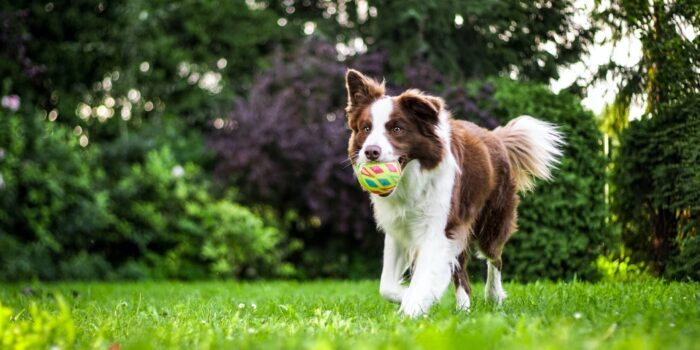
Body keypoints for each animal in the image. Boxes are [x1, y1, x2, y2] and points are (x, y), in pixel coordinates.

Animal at [344, 68, 564, 318]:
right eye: (366, 128)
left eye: (397, 129)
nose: (371, 152)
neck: (412, 180)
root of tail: (496, 137)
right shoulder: (399, 228)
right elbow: (387, 286)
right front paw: (411, 297)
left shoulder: (439, 228)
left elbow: (424, 276)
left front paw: (412, 308)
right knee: (462, 274)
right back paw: (463, 309)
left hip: (491, 221)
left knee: (494, 258)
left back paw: (493, 296)